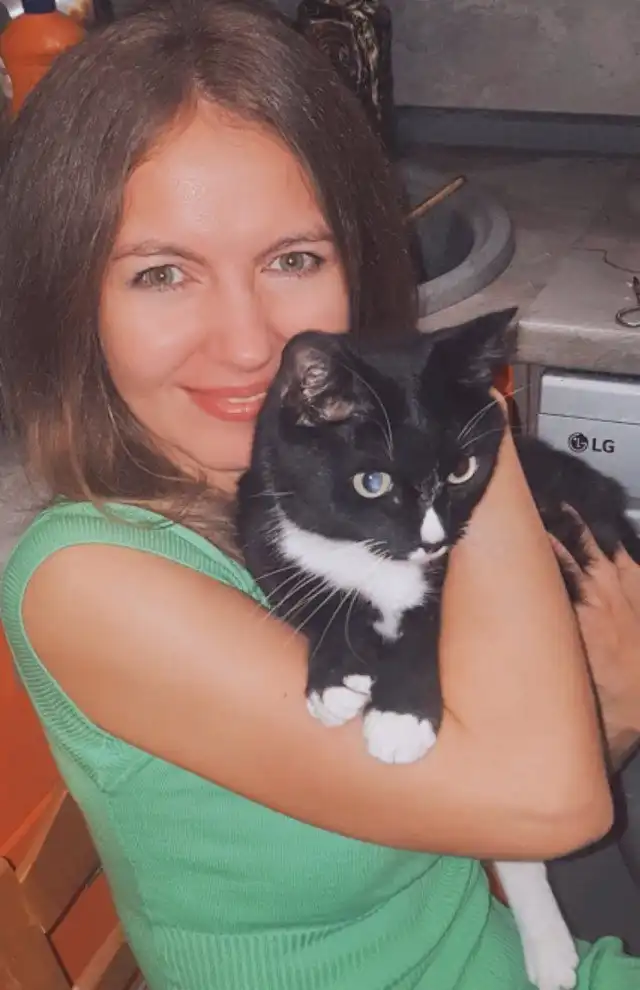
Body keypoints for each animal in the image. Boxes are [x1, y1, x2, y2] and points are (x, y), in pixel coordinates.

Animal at [236, 309, 640, 990]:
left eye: (462, 471)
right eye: (373, 482)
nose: (433, 540)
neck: (370, 557)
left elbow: (428, 626)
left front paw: (398, 717)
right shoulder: (266, 532)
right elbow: (312, 601)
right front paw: (334, 678)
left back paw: (551, 950)